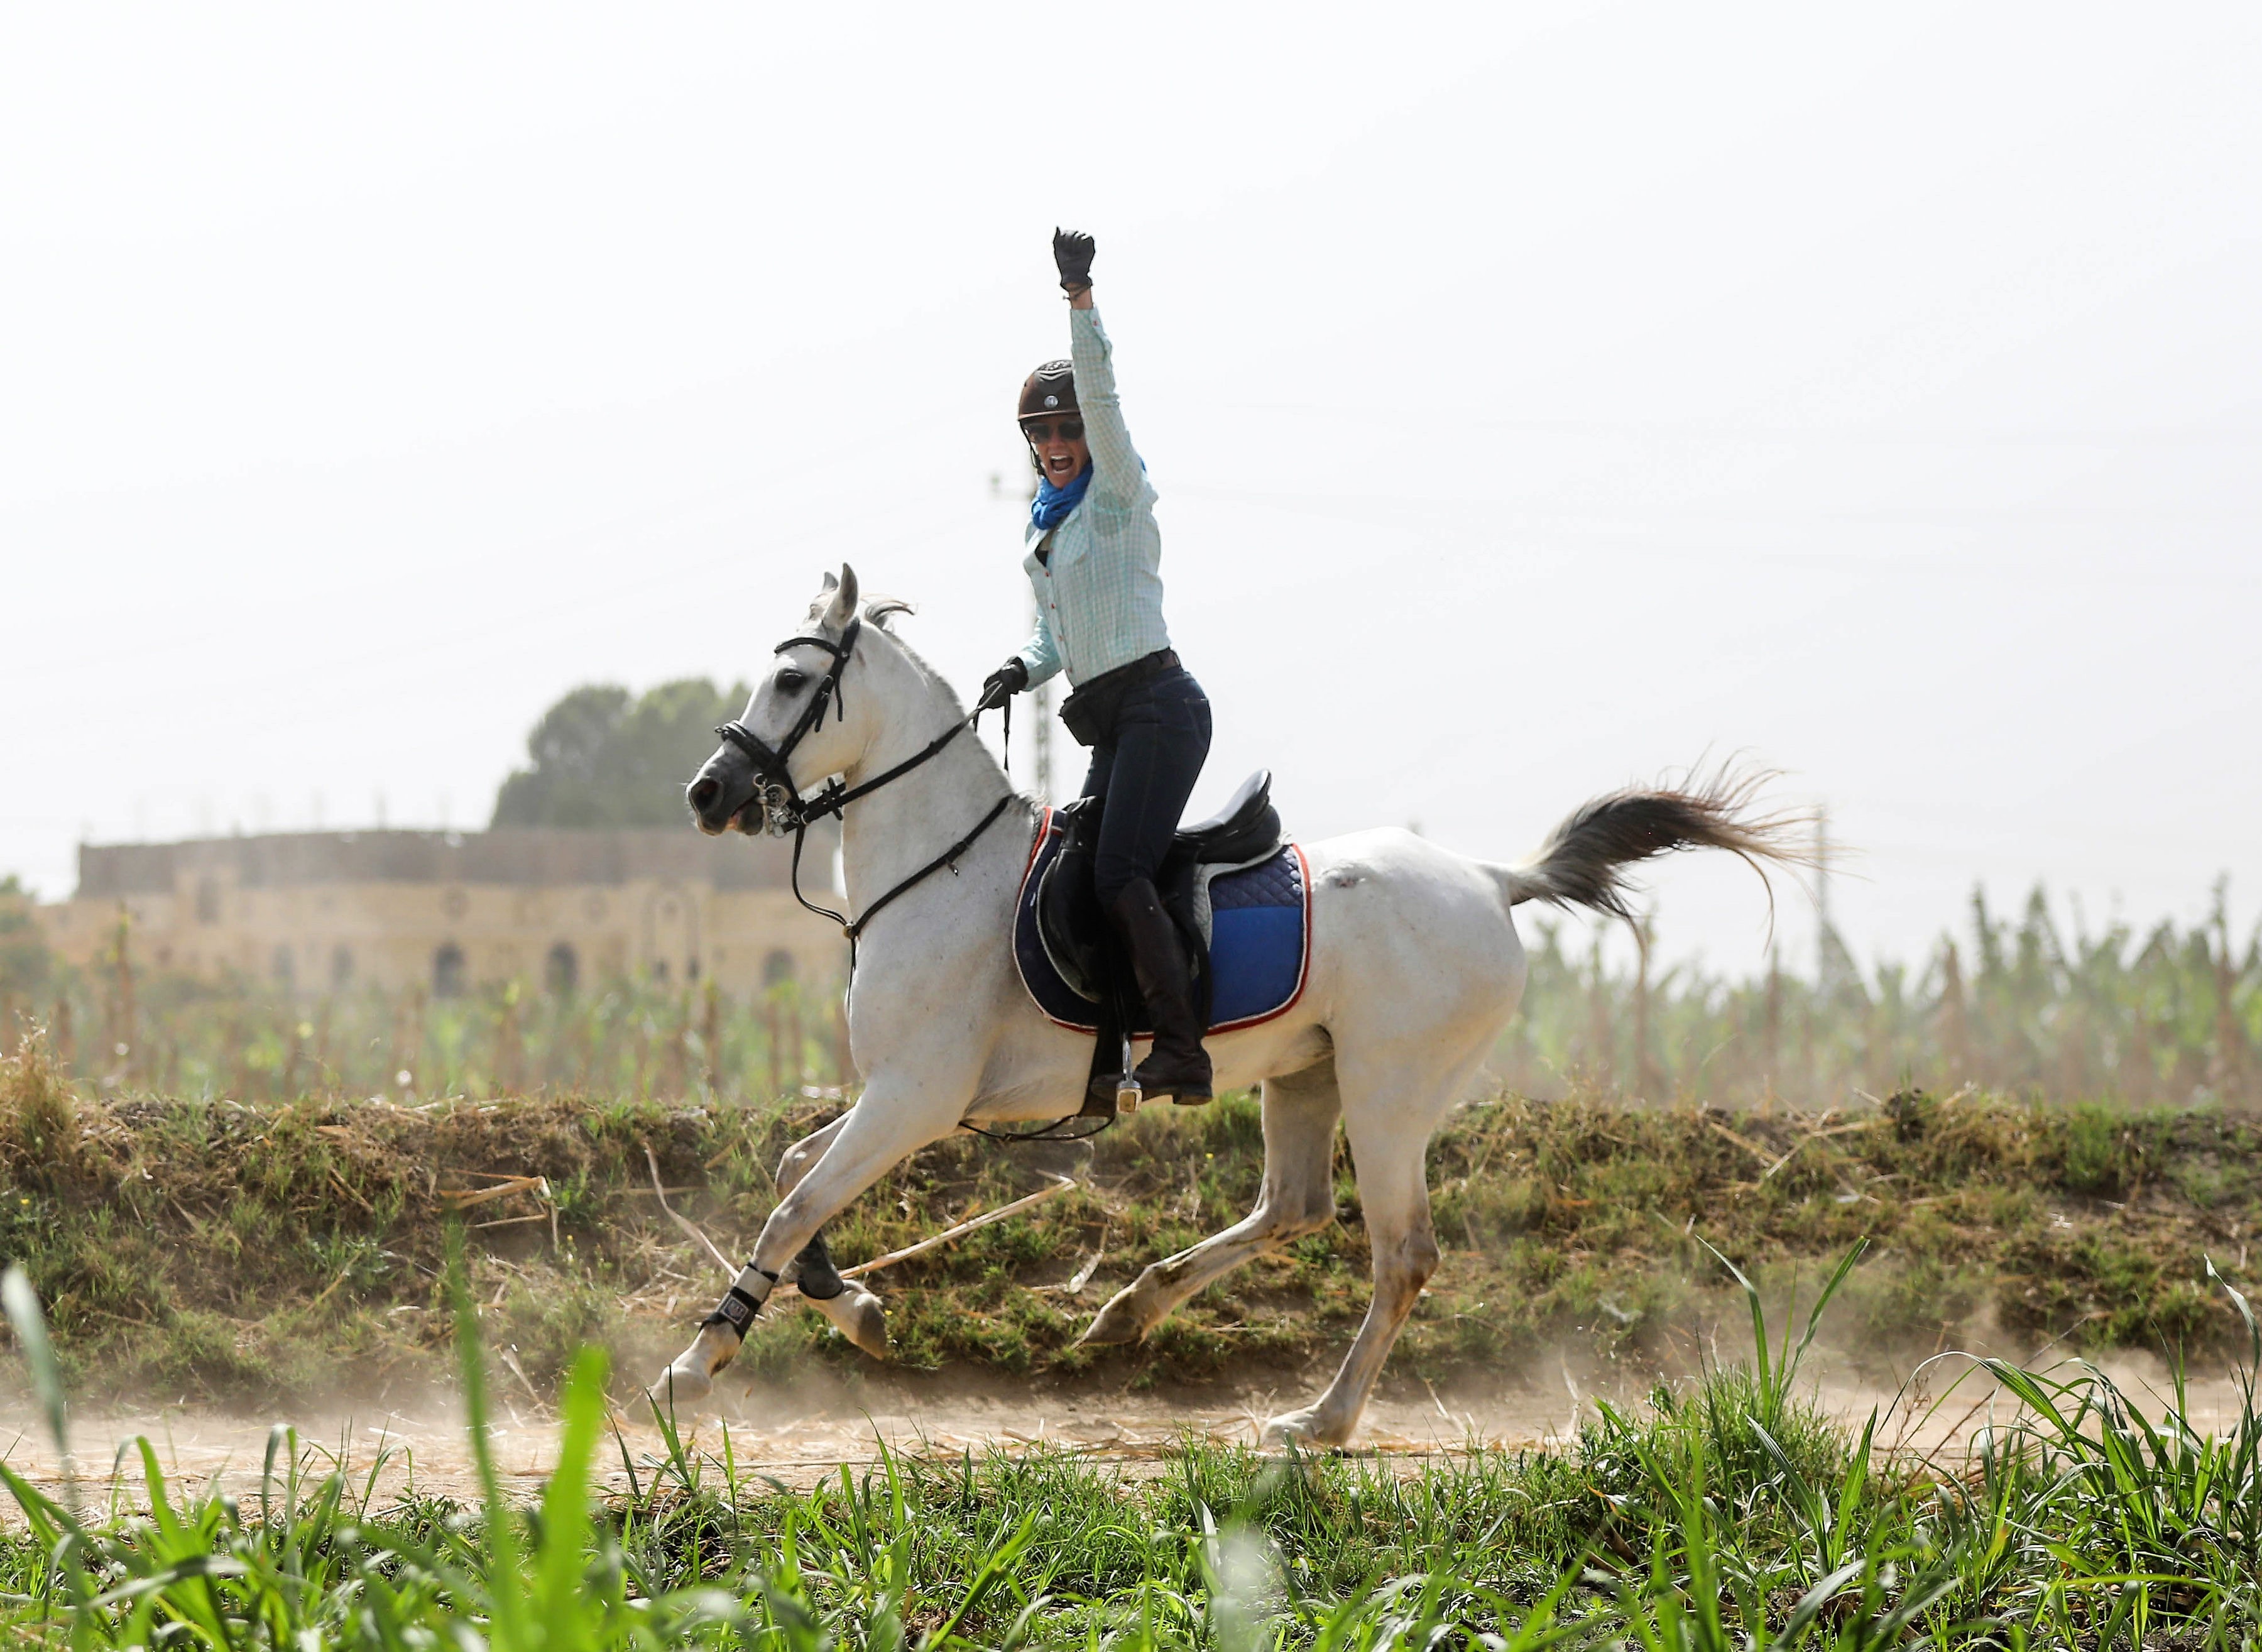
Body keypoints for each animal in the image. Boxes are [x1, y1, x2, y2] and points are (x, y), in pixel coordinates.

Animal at [660, 566, 1800, 1439]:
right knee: (1295, 1206)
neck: (939, 870)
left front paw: (700, 1358)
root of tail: (1490, 878)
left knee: (1402, 1256)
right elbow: (795, 1172)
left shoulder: (916, 1097)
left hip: (1390, 1093)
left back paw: (1321, 1420)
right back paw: (1132, 1307)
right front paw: (852, 1304)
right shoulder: (897, 1096)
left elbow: (794, 1199)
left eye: (792, 678)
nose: (706, 794)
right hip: (1308, 1076)